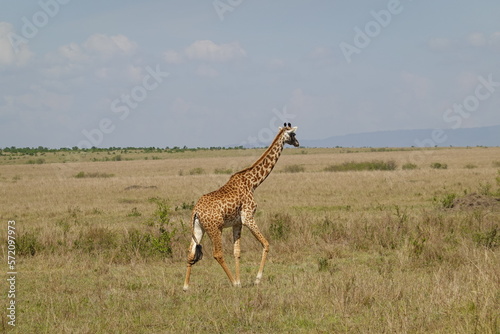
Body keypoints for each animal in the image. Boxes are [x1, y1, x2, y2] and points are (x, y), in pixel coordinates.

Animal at [185, 122, 298, 290]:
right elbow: (266, 244)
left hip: (199, 229)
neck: (253, 183)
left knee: (191, 251)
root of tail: (195, 211)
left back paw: (186, 286)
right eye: (293, 134)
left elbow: (237, 251)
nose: (298, 143)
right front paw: (256, 280)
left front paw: (240, 281)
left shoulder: (237, 223)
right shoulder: (248, 217)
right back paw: (231, 282)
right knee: (217, 253)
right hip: (215, 229)